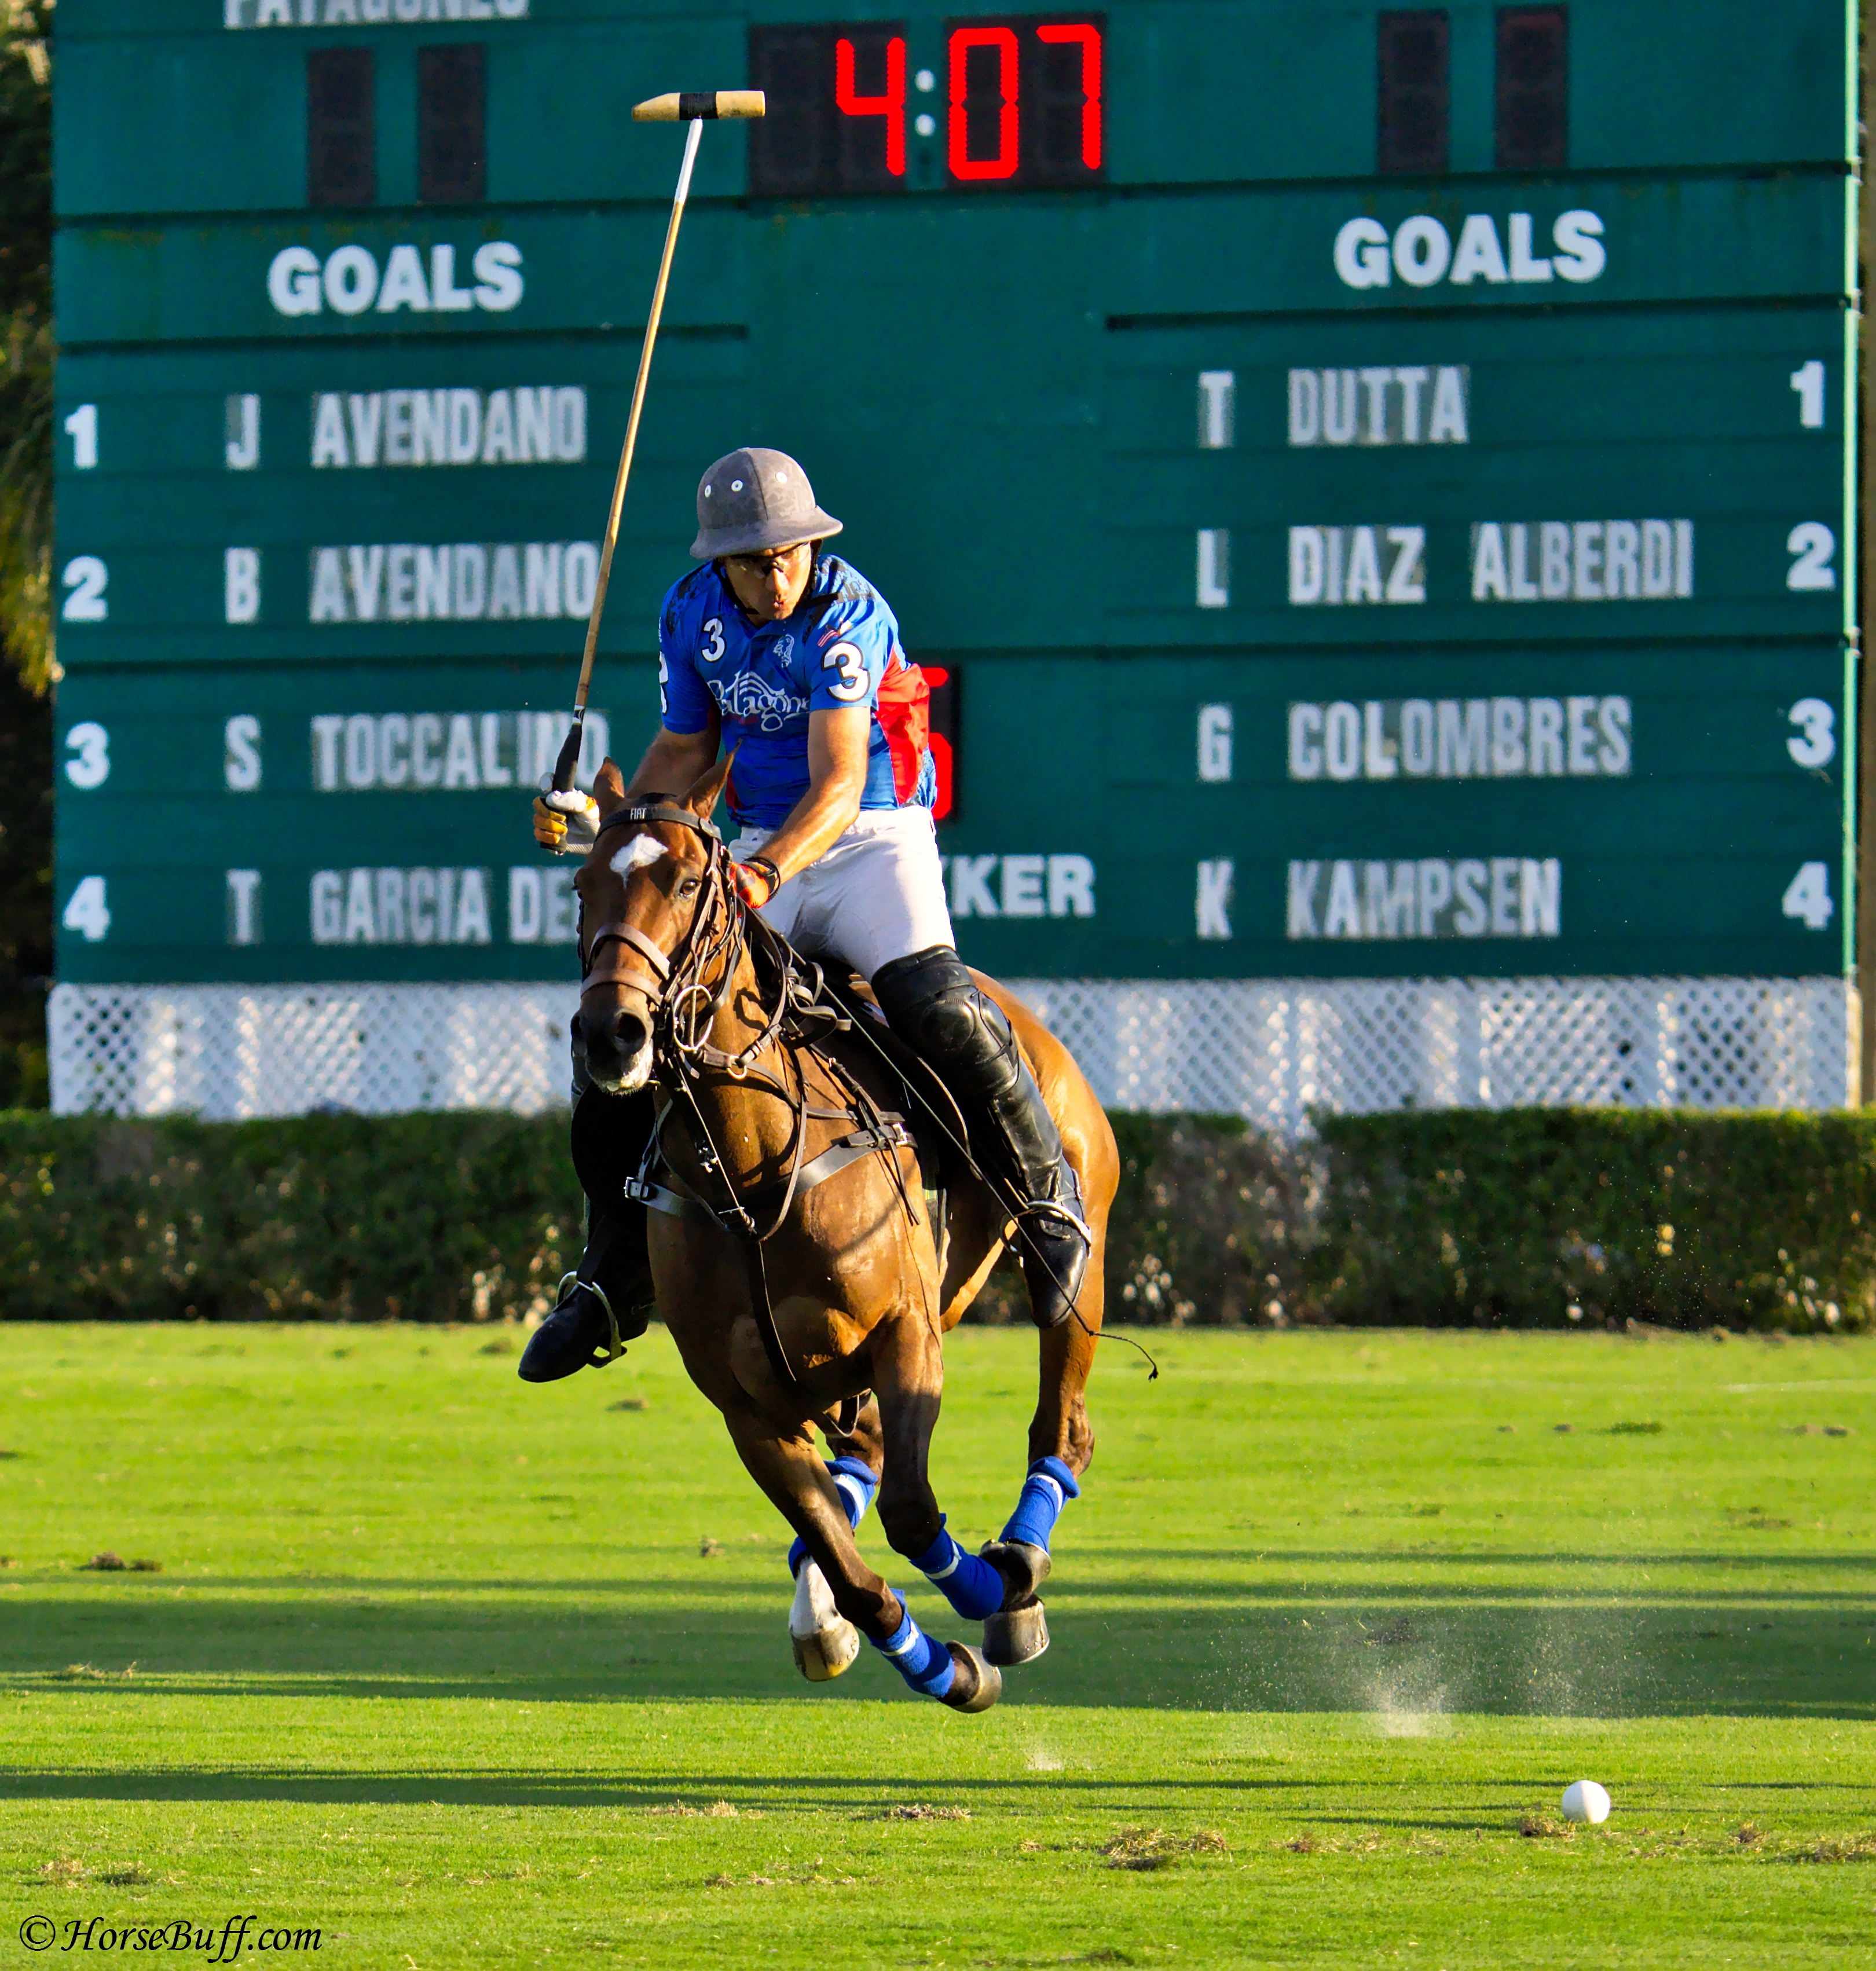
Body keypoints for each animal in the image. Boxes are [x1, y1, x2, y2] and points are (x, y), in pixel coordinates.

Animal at [575, 760, 1111, 1719]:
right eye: (580, 885)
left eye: (687, 882)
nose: (611, 1032)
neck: (753, 1175)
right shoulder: (748, 1410)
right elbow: (850, 1560)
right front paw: (942, 1666)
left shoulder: (908, 1335)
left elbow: (912, 1510)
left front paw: (986, 1593)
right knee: (858, 1468)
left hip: (1073, 1257)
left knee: (1061, 1421)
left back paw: (1019, 1566)